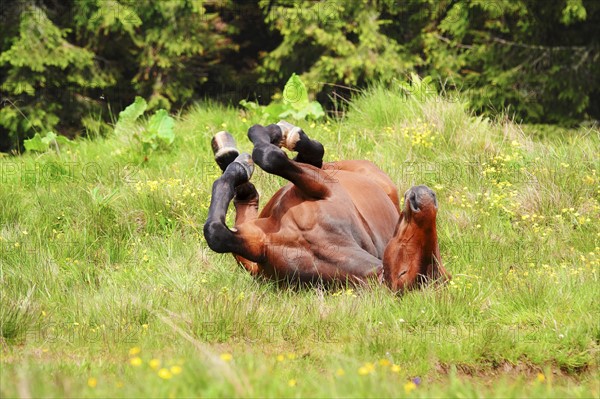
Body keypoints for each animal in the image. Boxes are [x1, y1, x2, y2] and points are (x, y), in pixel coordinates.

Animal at [203, 120, 450, 292]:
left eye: (403, 272)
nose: (425, 198)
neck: (316, 246)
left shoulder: (325, 187)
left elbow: (270, 157)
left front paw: (242, 163)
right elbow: (217, 233)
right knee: (308, 158)